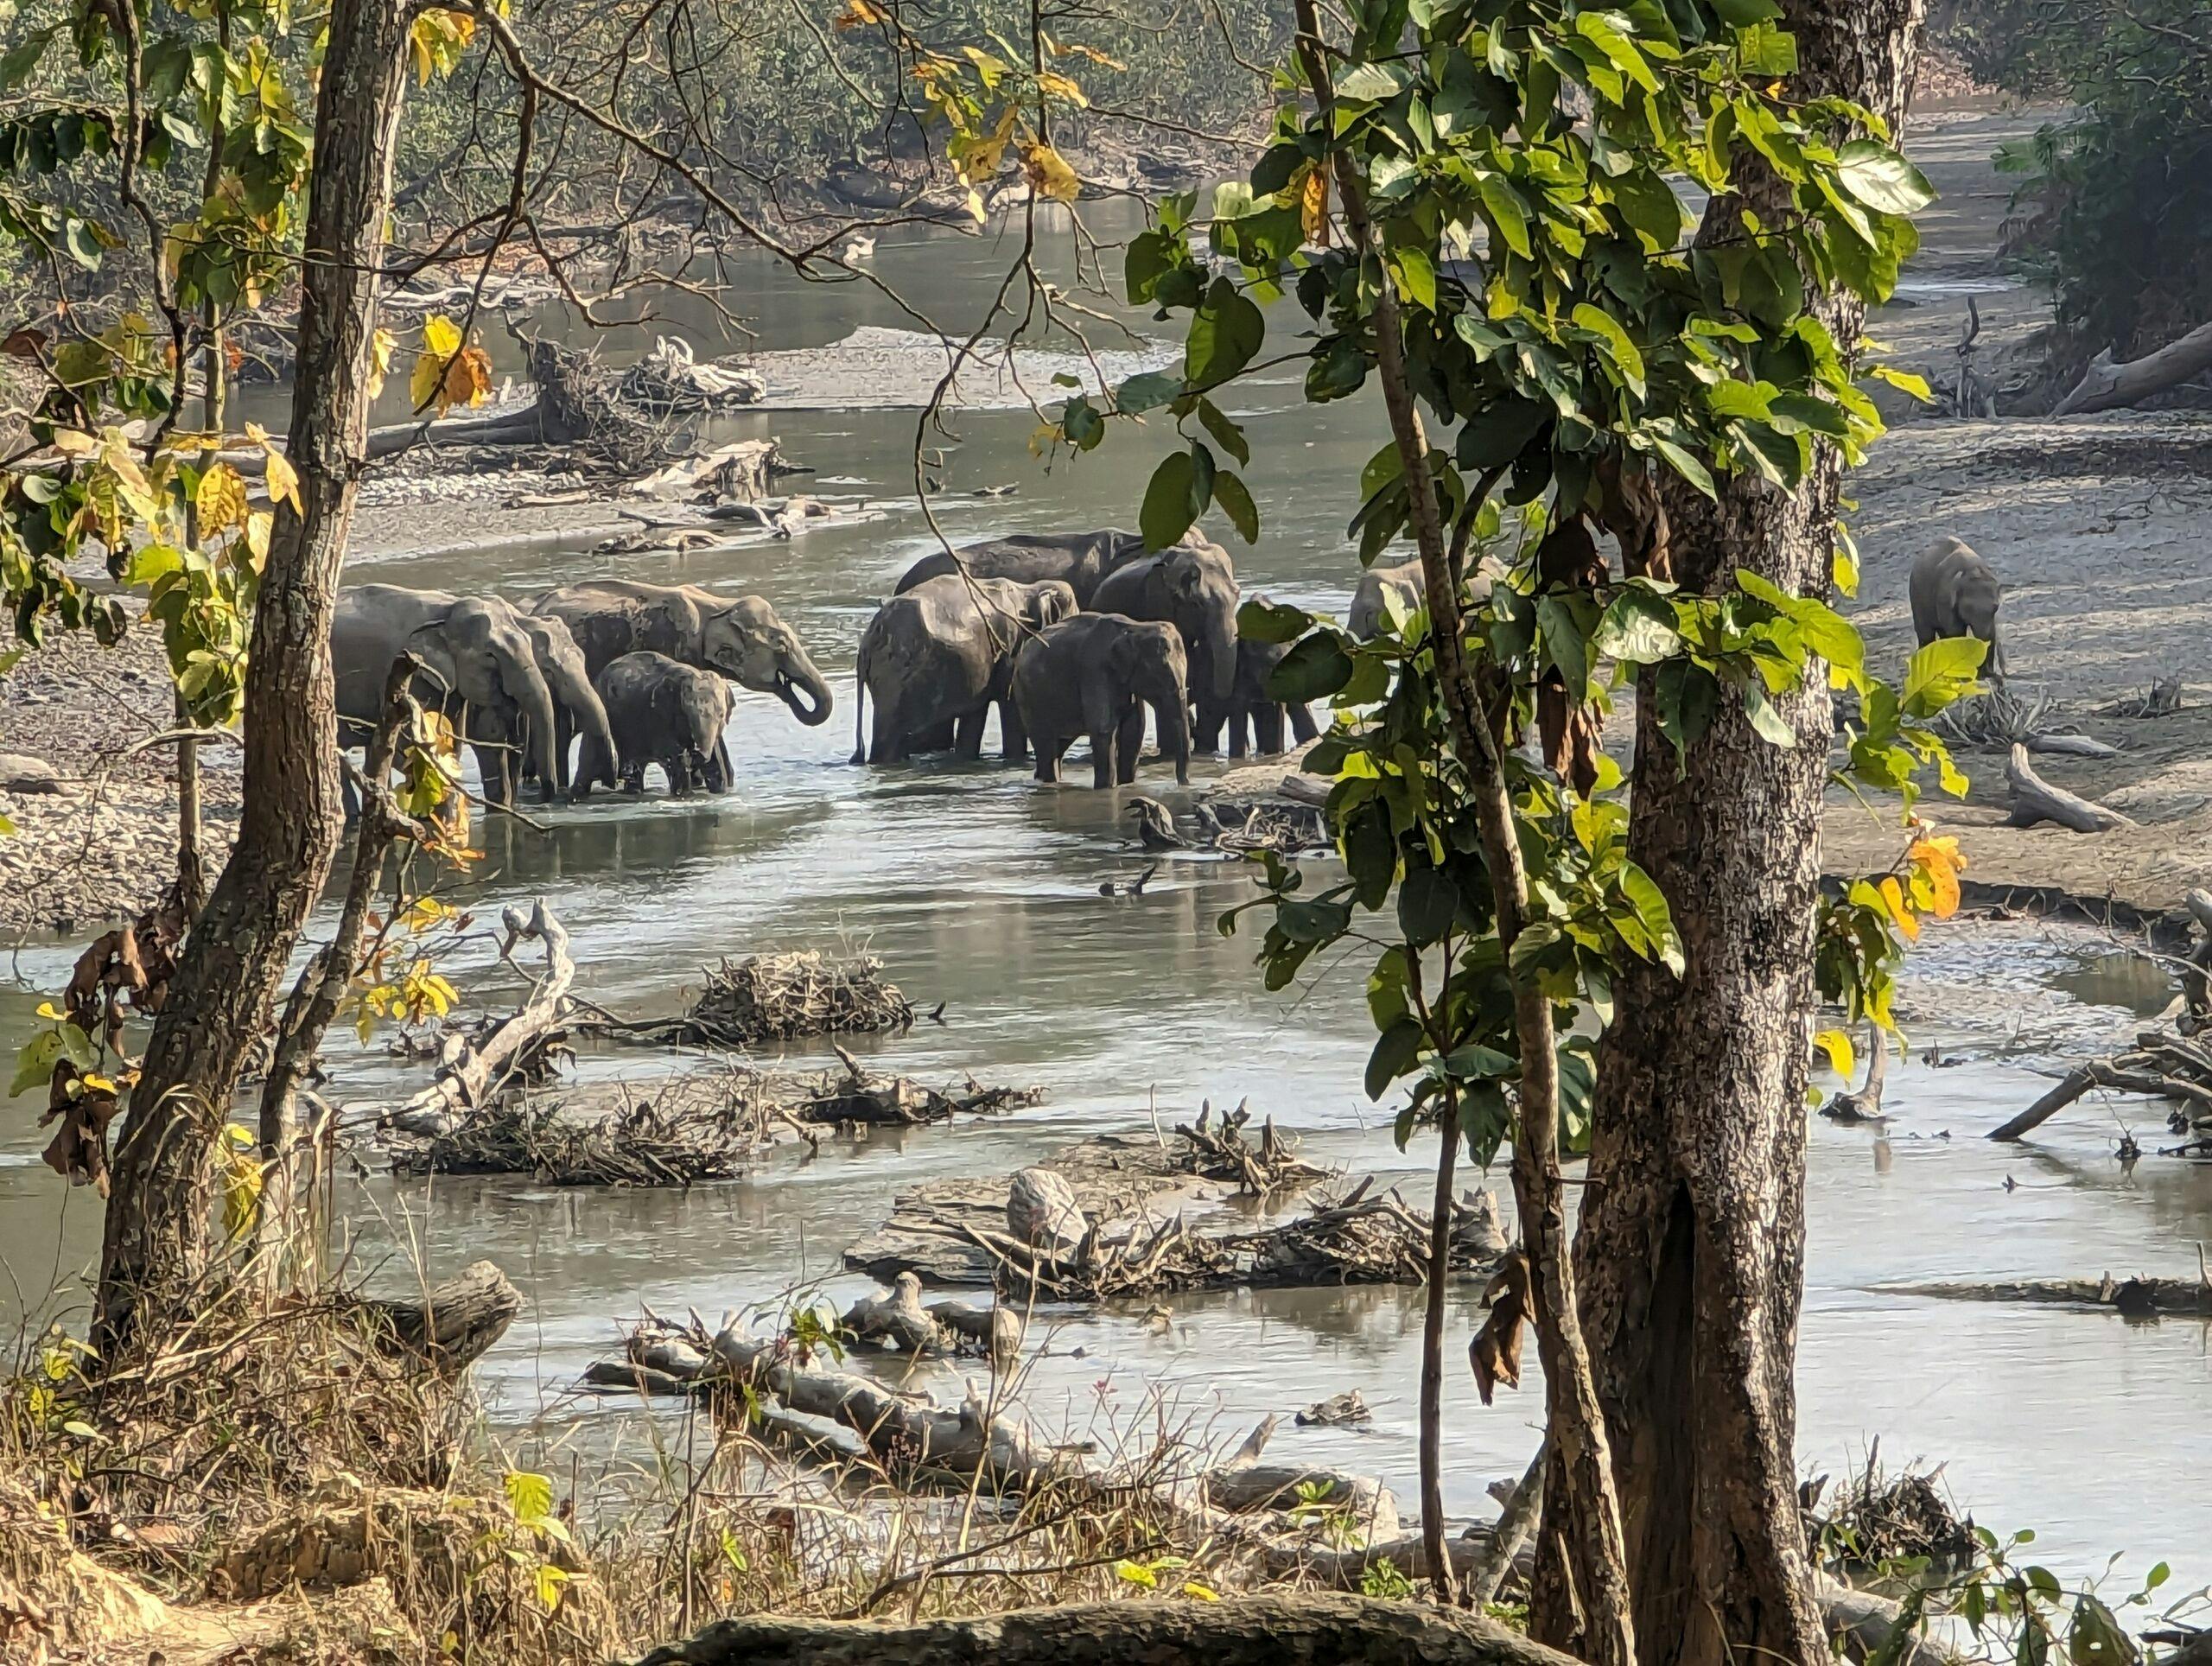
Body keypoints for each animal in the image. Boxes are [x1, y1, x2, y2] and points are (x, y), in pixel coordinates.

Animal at [332, 585, 560, 806]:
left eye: (529, 642)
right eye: (490, 655)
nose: (542, 799)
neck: (447, 612)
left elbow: (462, 743)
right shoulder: (414, 677)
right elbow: (412, 751)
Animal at [575, 652, 734, 797]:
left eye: (721, 716)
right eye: (687, 716)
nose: (694, 751)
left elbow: (716, 762)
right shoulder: (661, 718)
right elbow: (675, 760)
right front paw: (683, 793)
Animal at [852, 576, 1078, 764]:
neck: (1030, 589)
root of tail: (867, 642)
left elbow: (975, 713)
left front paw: (965, 758)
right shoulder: (1010, 648)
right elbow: (1009, 705)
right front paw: (1016, 758)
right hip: (893, 675)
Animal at [1011, 612, 1192, 788]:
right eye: (1165, 675)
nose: (1185, 784)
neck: (1137, 627)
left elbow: (1134, 730)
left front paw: (1126, 784)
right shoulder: (1095, 671)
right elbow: (1103, 729)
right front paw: (1107, 788)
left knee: (1058, 747)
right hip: (1028, 698)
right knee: (1046, 747)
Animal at [1909, 536, 2006, 679]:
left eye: (1996, 607)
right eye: (1968, 609)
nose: (1997, 674)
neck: (1972, 569)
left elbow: (1991, 632)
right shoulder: (1944, 599)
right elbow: (1956, 632)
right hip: (1917, 597)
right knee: (1926, 635)